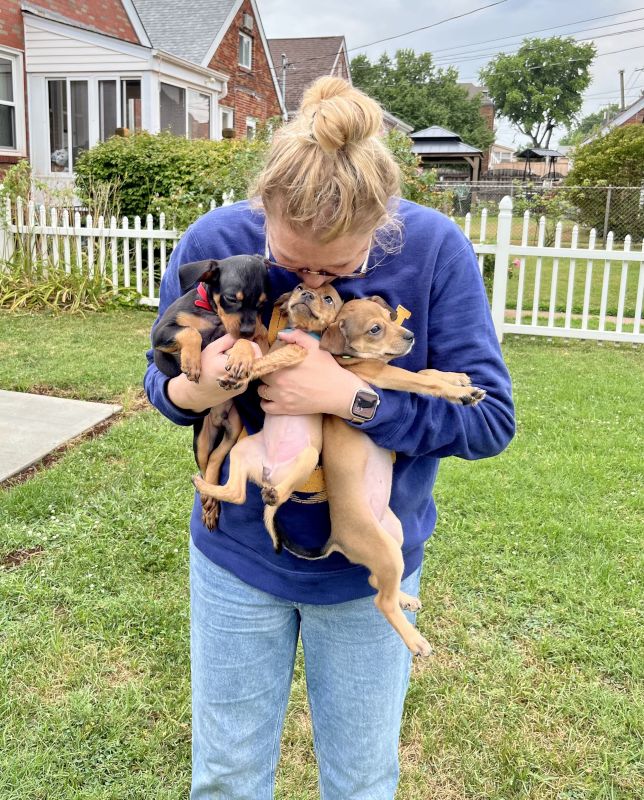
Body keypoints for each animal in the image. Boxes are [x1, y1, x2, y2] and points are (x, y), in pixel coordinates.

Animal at [152, 258, 268, 532]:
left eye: (262, 304)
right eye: (232, 298)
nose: (248, 329)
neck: (215, 316)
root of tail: (216, 421)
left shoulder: (257, 337)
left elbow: (245, 343)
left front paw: (241, 356)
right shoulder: (162, 332)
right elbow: (190, 332)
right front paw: (192, 362)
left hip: (234, 428)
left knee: (215, 460)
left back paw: (211, 503)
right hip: (201, 440)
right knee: (205, 465)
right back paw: (208, 501)